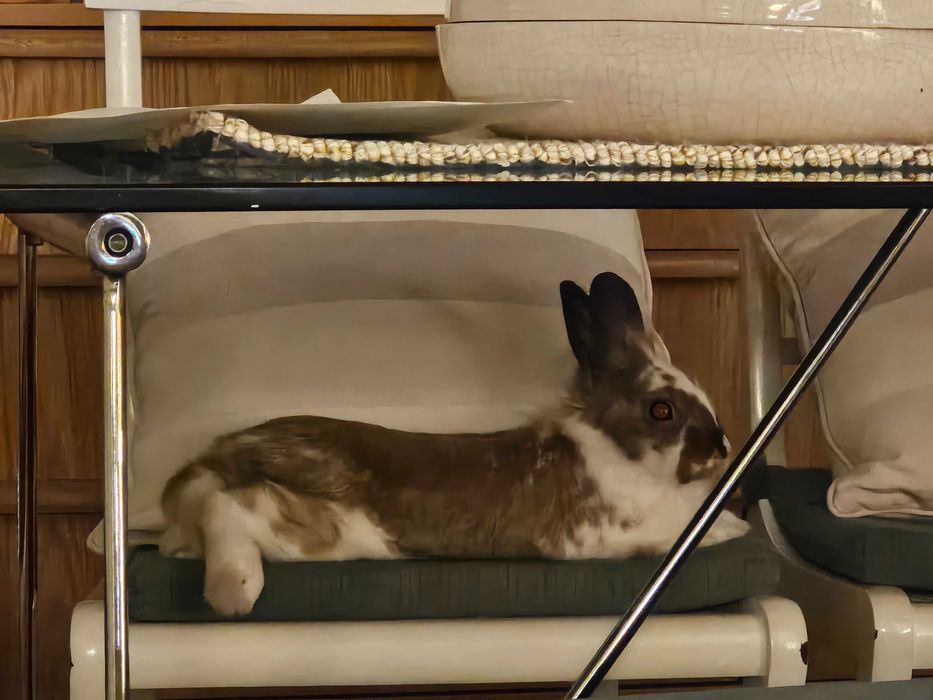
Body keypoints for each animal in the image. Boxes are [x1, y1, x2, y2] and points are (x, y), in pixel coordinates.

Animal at [160, 271, 750, 617]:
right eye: (661, 410)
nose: (722, 447)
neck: (613, 449)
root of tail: (218, 456)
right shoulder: (621, 533)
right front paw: (734, 529)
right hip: (321, 530)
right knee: (231, 509)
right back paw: (234, 592)